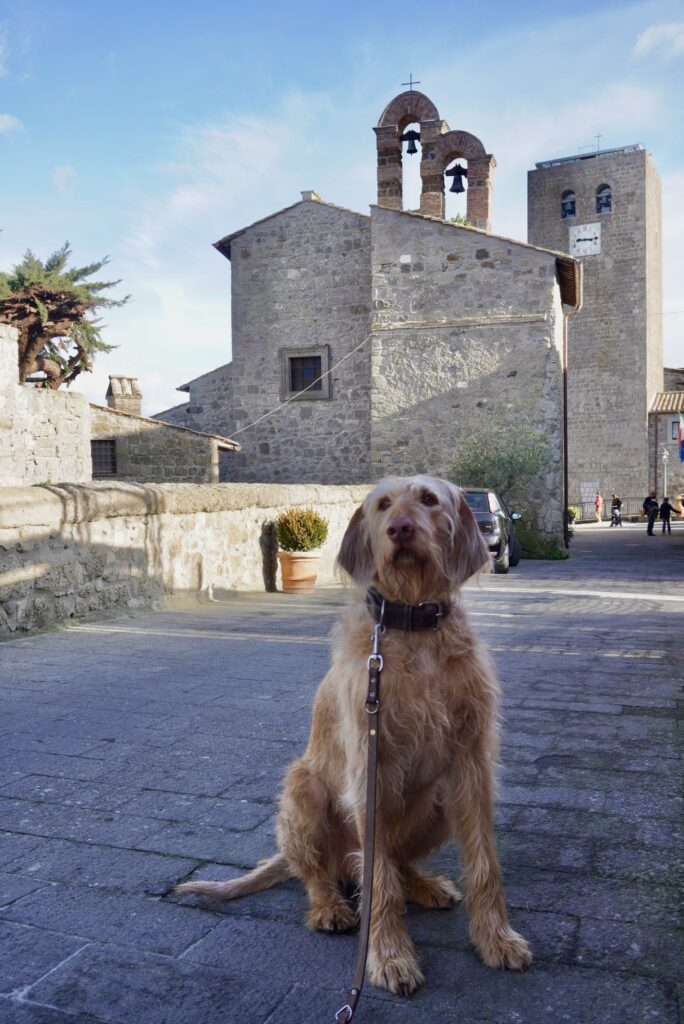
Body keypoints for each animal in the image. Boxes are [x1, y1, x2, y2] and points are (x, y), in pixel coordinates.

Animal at [176, 475, 528, 995]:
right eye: (383, 505)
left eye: (429, 499)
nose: (400, 528)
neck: (413, 626)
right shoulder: (369, 766)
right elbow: (377, 882)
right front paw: (389, 956)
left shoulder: (471, 762)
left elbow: (485, 862)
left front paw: (496, 938)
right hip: (303, 792)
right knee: (325, 873)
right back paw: (329, 907)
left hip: (438, 803)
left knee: (393, 865)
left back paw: (423, 885)